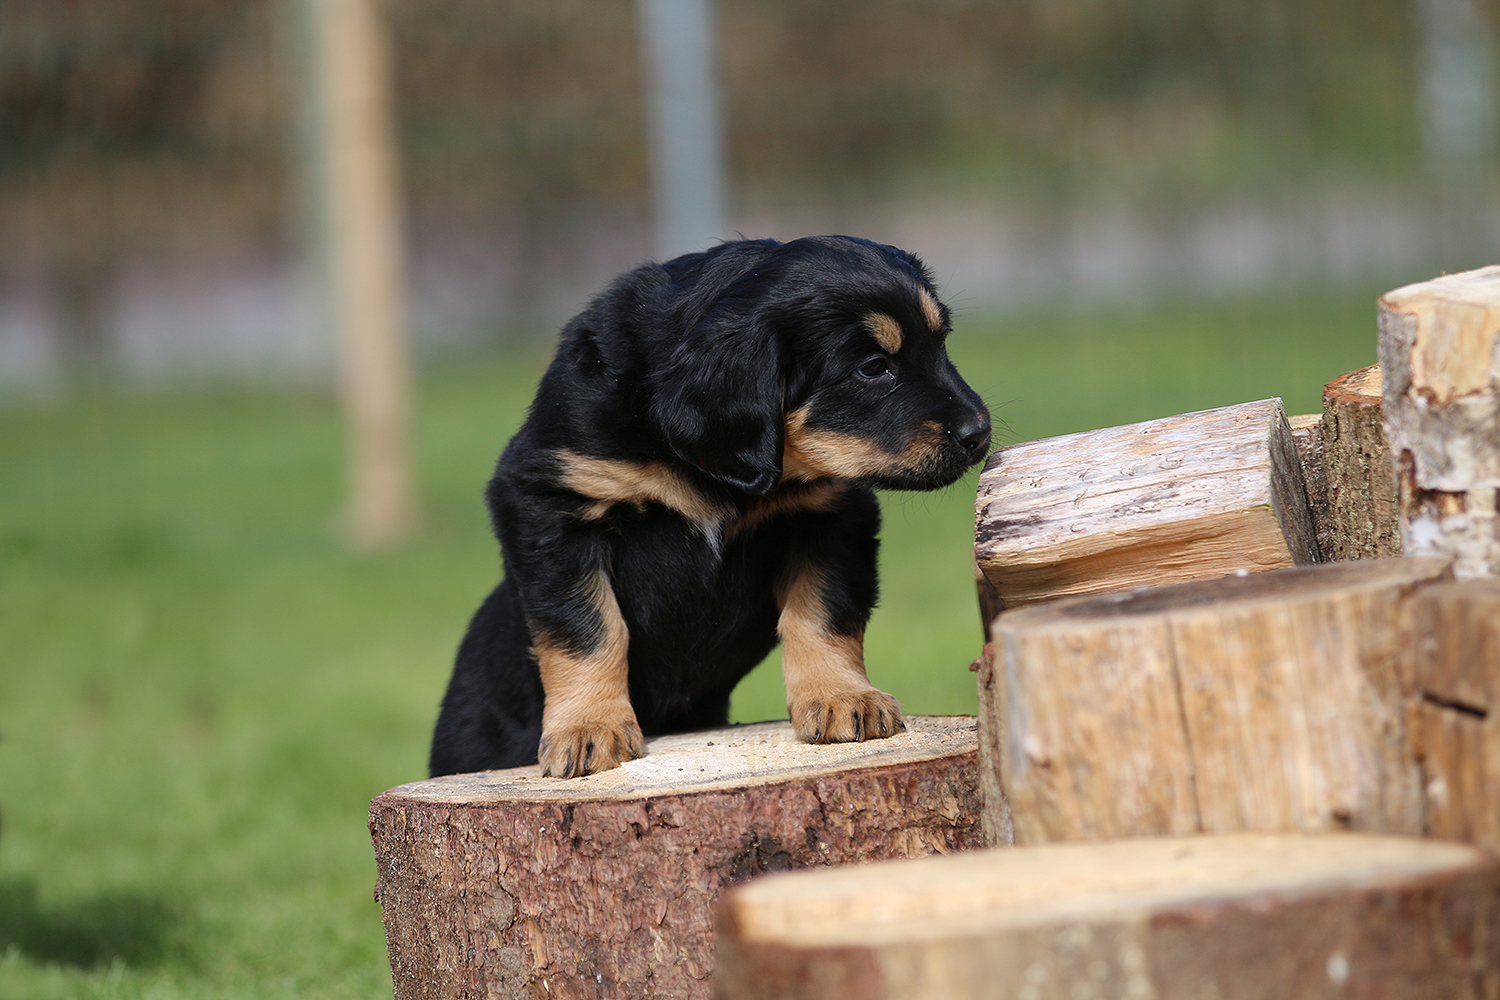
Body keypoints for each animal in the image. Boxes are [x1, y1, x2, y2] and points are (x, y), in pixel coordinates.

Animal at [429, 236, 991, 778]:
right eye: (873, 368)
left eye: (941, 343)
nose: (980, 434)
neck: (712, 470)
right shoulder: (551, 504)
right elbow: (587, 628)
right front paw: (589, 727)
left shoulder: (830, 513)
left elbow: (824, 611)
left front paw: (842, 697)